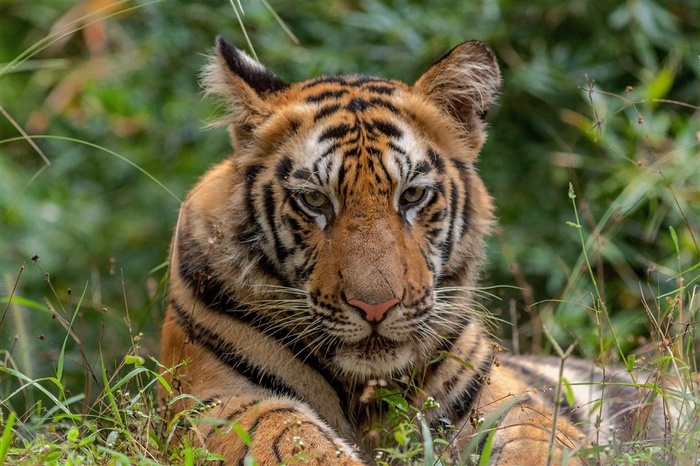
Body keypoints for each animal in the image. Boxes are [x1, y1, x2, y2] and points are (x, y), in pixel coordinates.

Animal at [160, 37, 680, 466]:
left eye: (411, 195)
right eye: (315, 201)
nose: (375, 307)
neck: (365, 391)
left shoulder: (491, 394)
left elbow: (535, 439)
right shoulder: (211, 401)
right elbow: (286, 435)